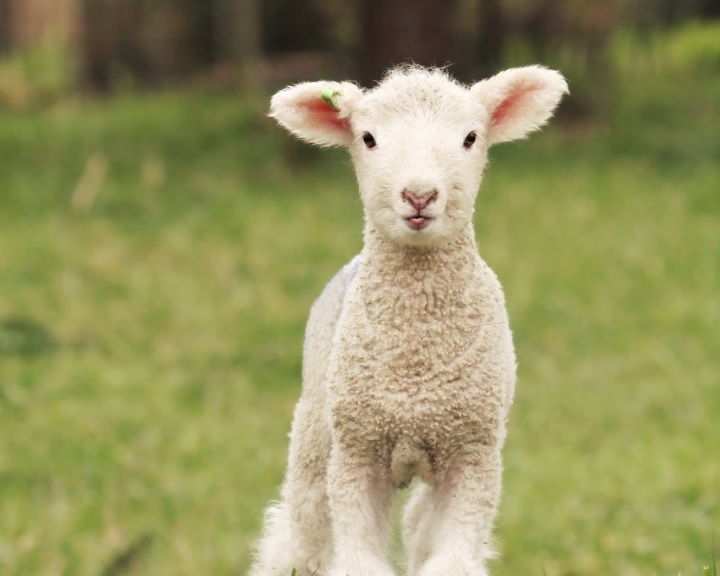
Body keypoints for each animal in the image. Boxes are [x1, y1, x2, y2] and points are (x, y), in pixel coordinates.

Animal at [250, 63, 572, 576]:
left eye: (470, 137)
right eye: (367, 138)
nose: (419, 195)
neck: (415, 372)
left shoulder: (473, 453)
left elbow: (451, 559)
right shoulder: (357, 452)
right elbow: (357, 559)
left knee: (419, 524)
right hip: (316, 428)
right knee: (302, 534)